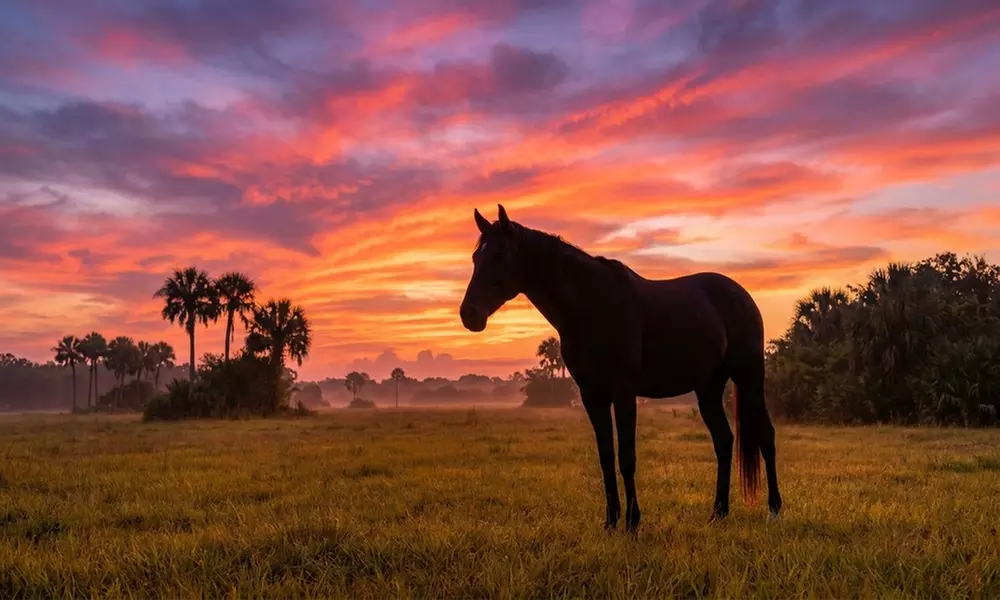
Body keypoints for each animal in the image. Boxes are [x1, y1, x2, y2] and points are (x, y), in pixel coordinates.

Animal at [459, 205, 782, 532]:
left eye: (500, 255)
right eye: (475, 257)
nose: (469, 314)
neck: (592, 304)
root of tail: (742, 295)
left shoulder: (623, 389)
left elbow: (627, 456)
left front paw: (632, 522)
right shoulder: (592, 393)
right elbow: (606, 456)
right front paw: (610, 521)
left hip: (750, 378)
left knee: (766, 437)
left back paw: (774, 510)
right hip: (708, 389)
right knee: (724, 441)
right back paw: (718, 512)